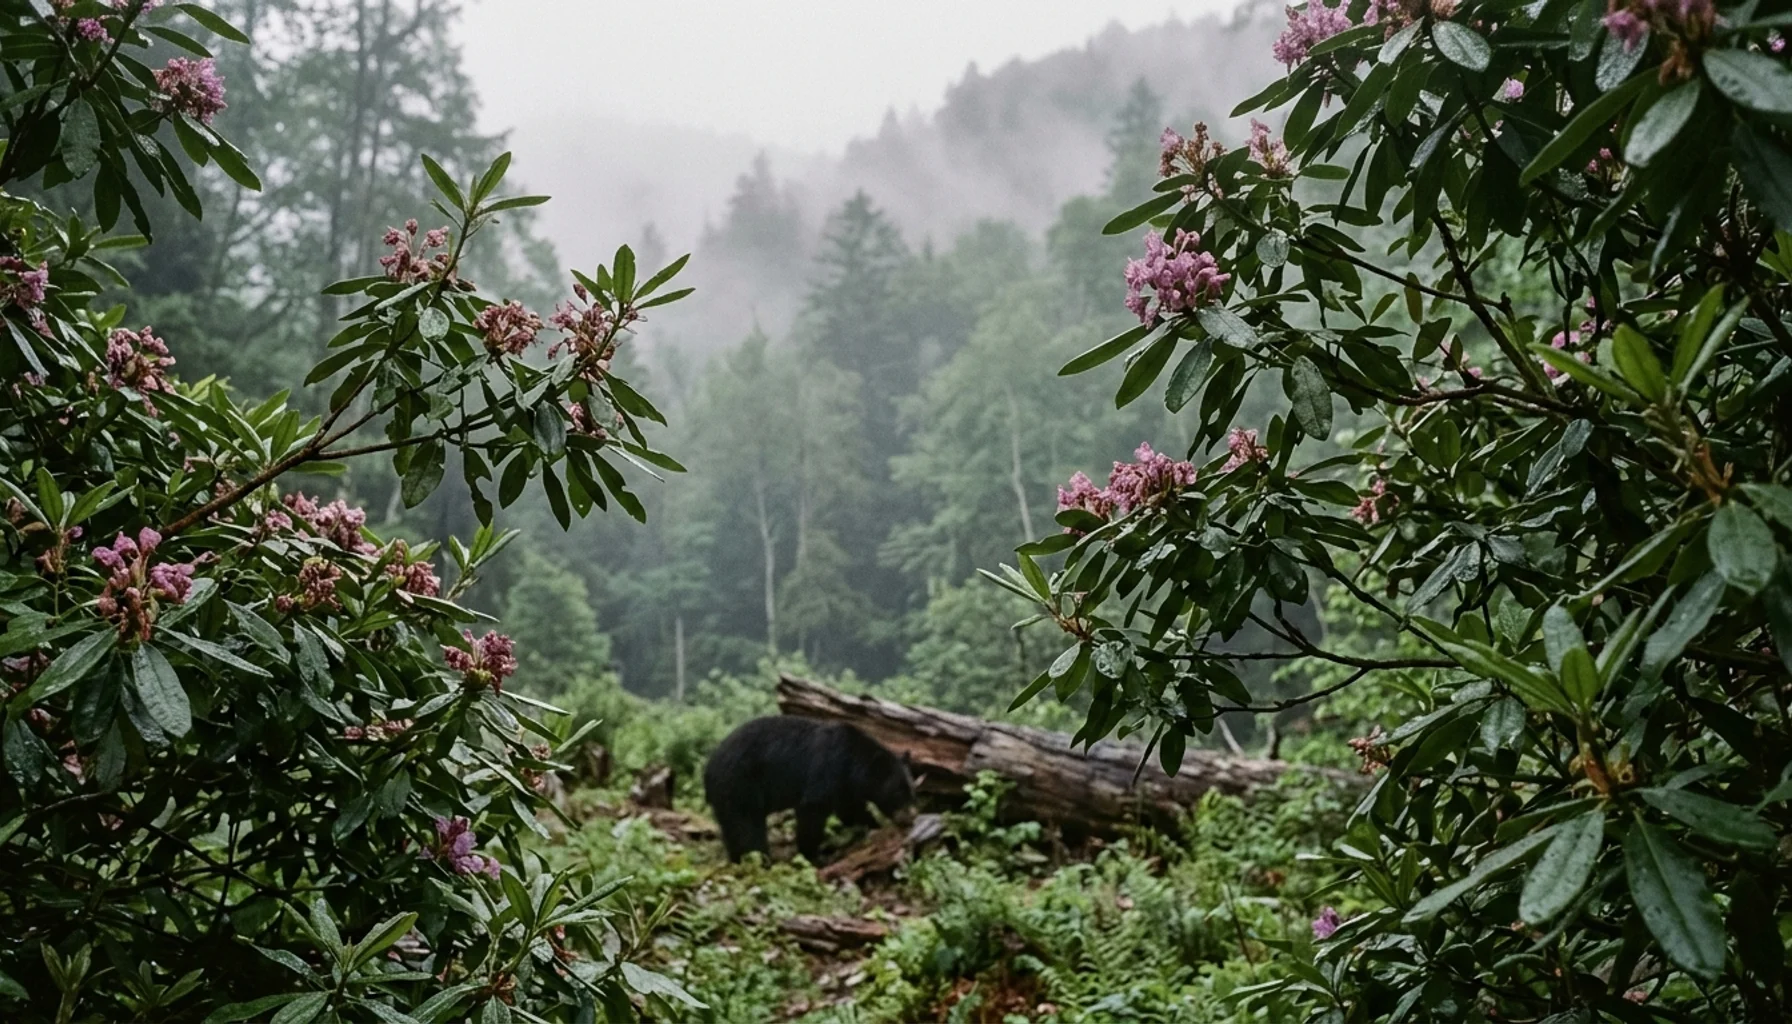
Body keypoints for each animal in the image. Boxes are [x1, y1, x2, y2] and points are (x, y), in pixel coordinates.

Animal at [702, 716, 916, 864]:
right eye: (898, 793)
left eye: (912, 792)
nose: (909, 818)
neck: (852, 762)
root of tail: (708, 769)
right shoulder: (827, 771)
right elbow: (812, 812)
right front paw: (813, 856)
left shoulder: (845, 787)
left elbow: (850, 810)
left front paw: (873, 826)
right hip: (739, 786)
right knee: (747, 828)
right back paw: (760, 860)